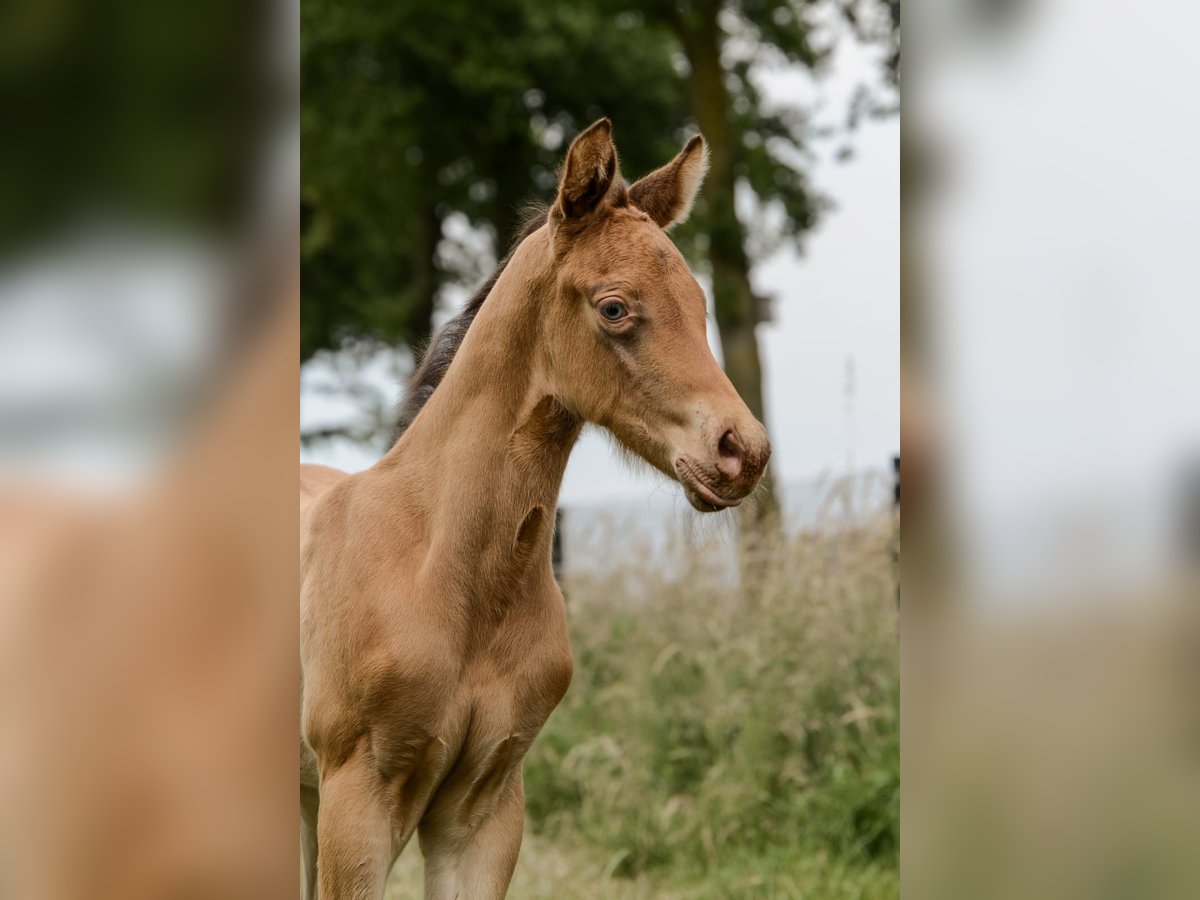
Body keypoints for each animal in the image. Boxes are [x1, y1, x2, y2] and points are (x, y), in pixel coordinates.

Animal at [298, 121, 768, 900]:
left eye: (700, 304)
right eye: (614, 307)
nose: (742, 451)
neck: (441, 571)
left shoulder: (485, 809)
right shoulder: (357, 800)